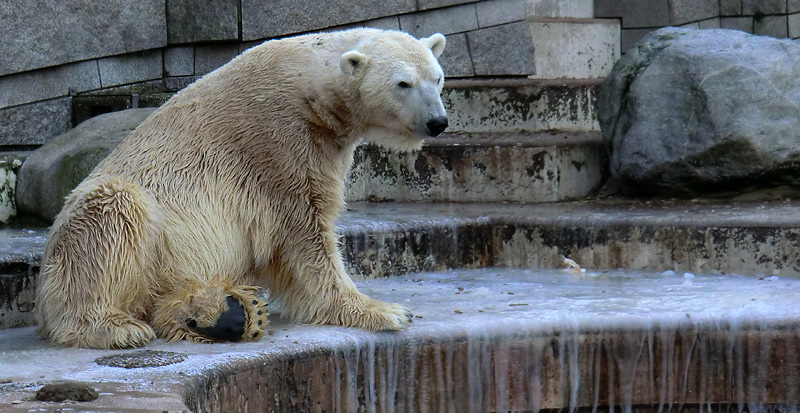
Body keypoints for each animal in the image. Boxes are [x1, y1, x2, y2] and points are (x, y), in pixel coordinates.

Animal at [34, 28, 446, 348]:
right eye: (403, 83)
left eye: (438, 78)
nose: (437, 121)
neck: (311, 86)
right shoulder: (279, 143)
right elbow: (305, 234)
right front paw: (386, 312)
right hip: (98, 224)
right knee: (114, 216)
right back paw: (116, 327)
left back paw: (226, 314)